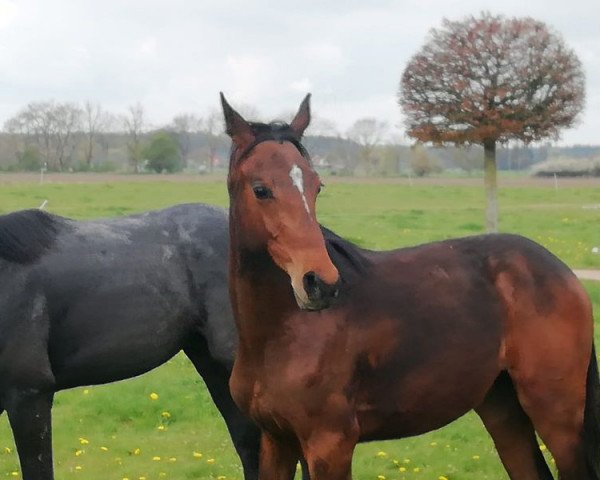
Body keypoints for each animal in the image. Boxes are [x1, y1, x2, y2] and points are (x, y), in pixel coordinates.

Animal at [220, 94, 600, 480]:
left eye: (316, 186)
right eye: (260, 189)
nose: (320, 283)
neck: (283, 334)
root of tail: (561, 272)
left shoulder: (329, 445)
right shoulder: (275, 440)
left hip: (557, 415)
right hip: (503, 409)